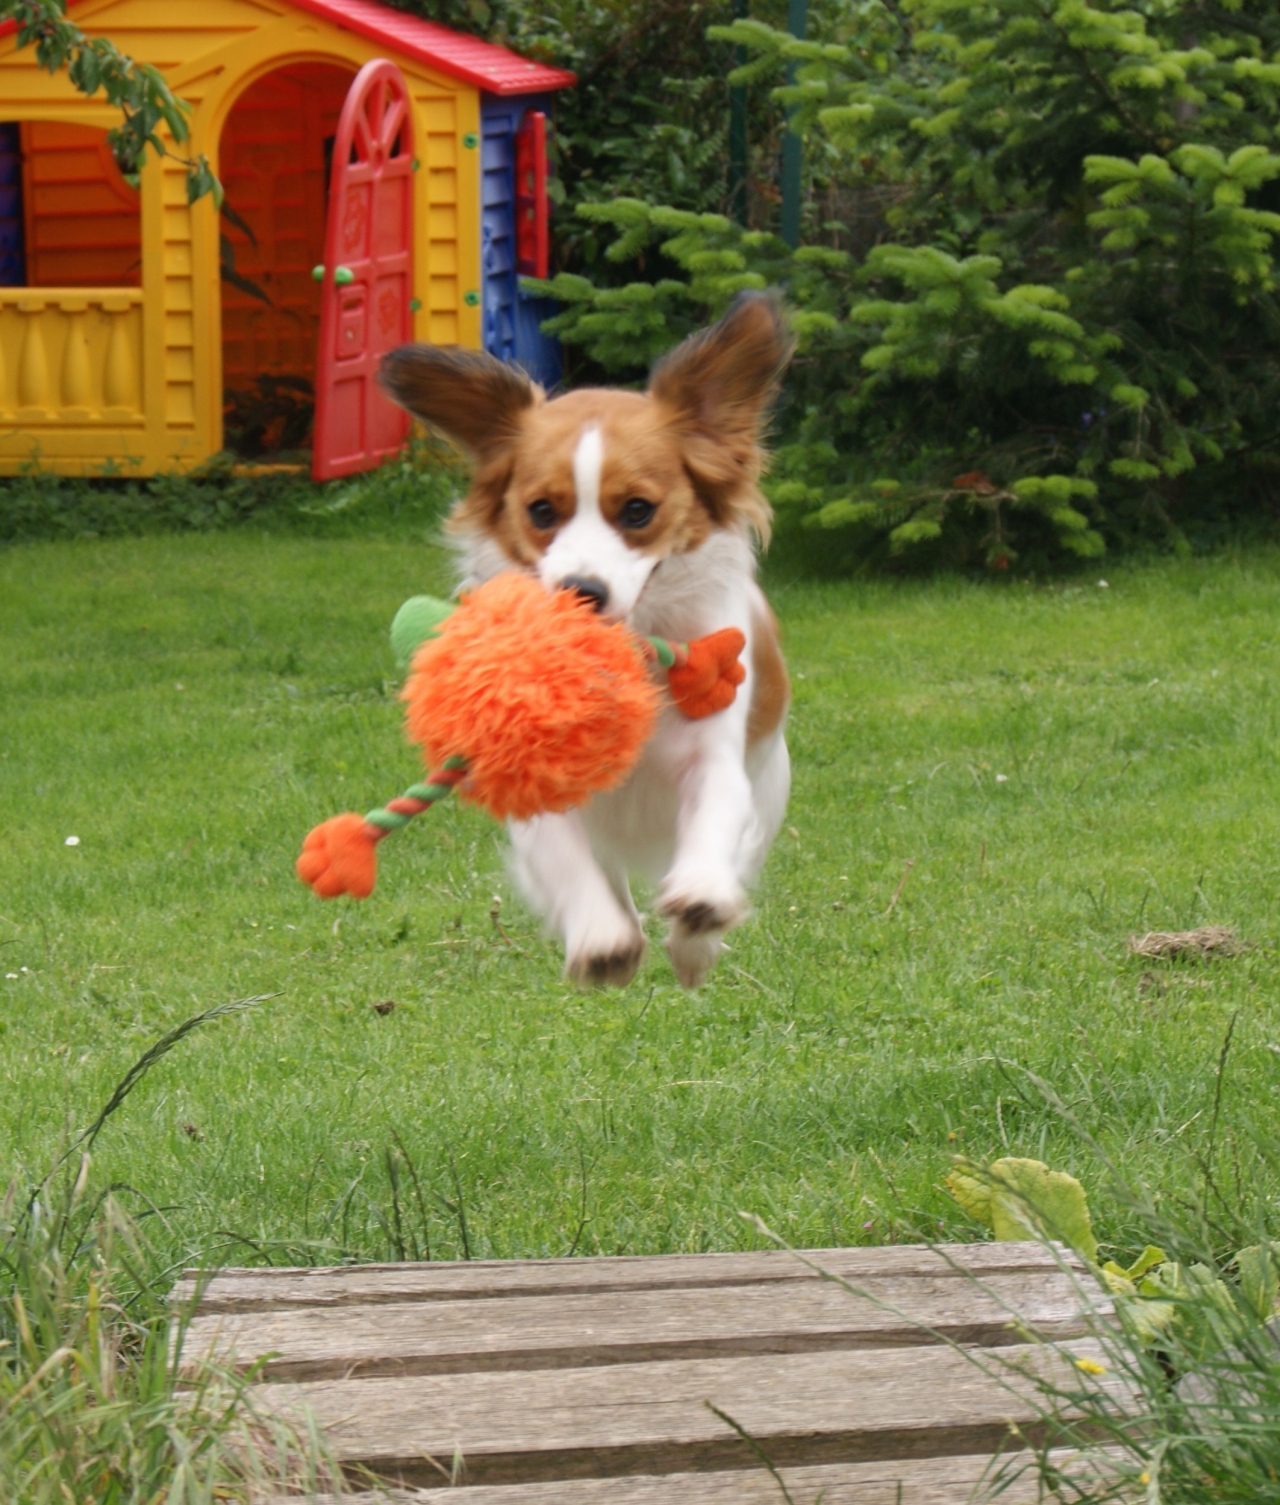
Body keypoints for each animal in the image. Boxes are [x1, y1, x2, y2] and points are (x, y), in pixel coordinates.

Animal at [379, 291, 795, 987]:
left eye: (638, 511)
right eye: (542, 511)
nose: (582, 590)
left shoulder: (714, 750)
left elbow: (714, 818)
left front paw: (701, 903)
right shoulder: (534, 784)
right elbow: (565, 857)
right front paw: (602, 937)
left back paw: (695, 943)